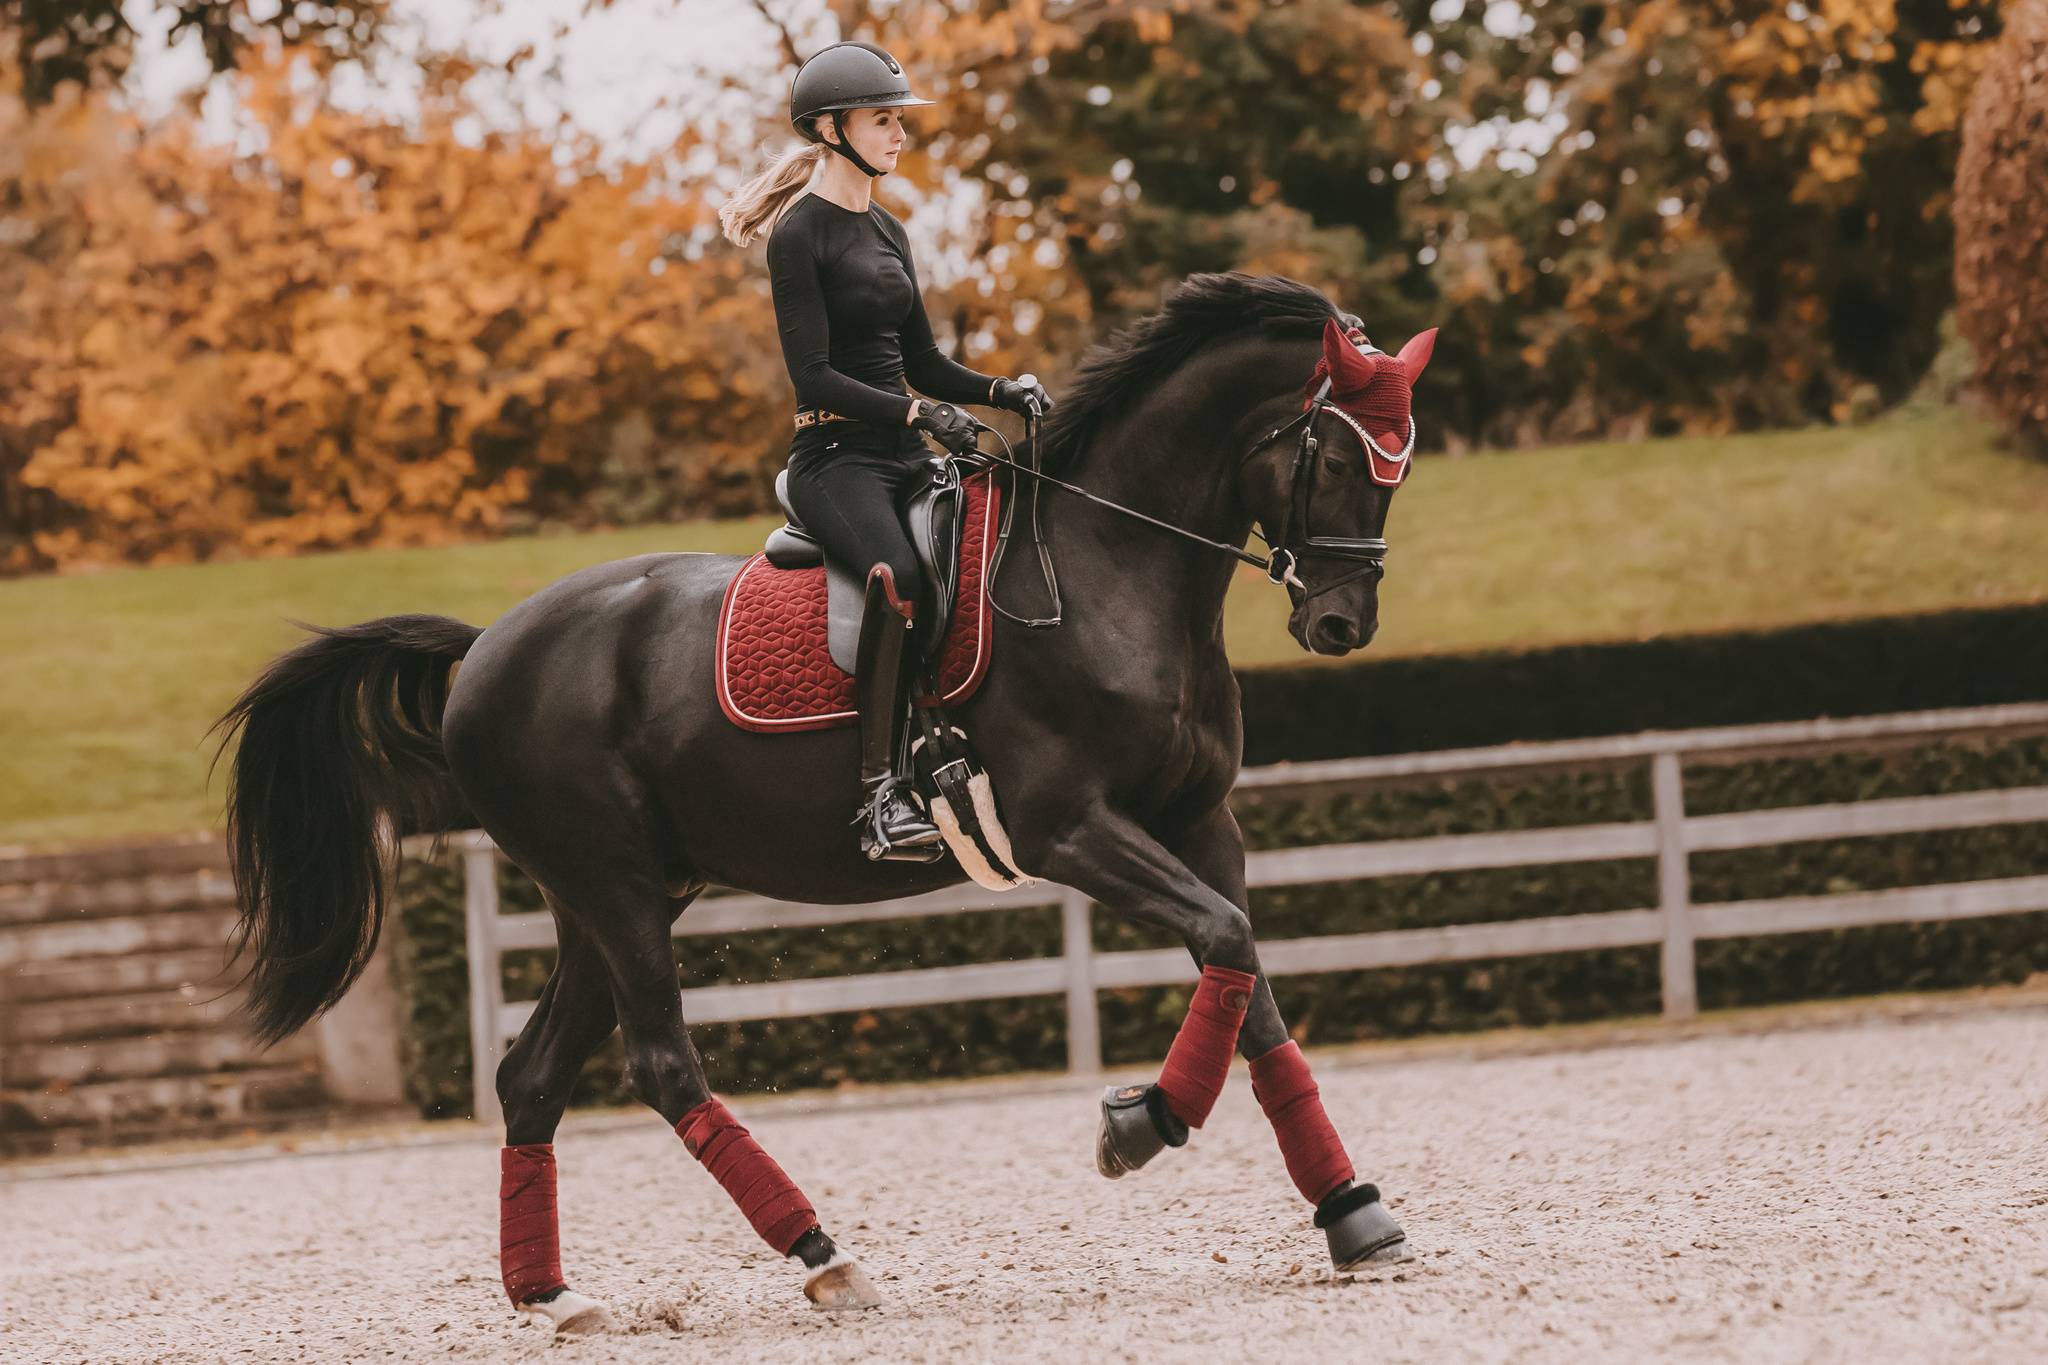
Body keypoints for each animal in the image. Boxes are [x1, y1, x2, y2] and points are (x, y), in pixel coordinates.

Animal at [216, 270, 1441, 1334]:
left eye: (1400, 464)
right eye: (1339, 453)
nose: (1341, 623)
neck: (1111, 571)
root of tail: (485, 650)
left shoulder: (1198, 822)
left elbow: (1248, 980)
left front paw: (1350, 1212)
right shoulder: (1071, 828)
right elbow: (1226, 944)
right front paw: (1140, 1125)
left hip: (613, 899)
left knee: (532, 1078)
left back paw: (555, 1297)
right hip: (612, 889)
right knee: (660, 1064)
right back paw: (825, 1256)